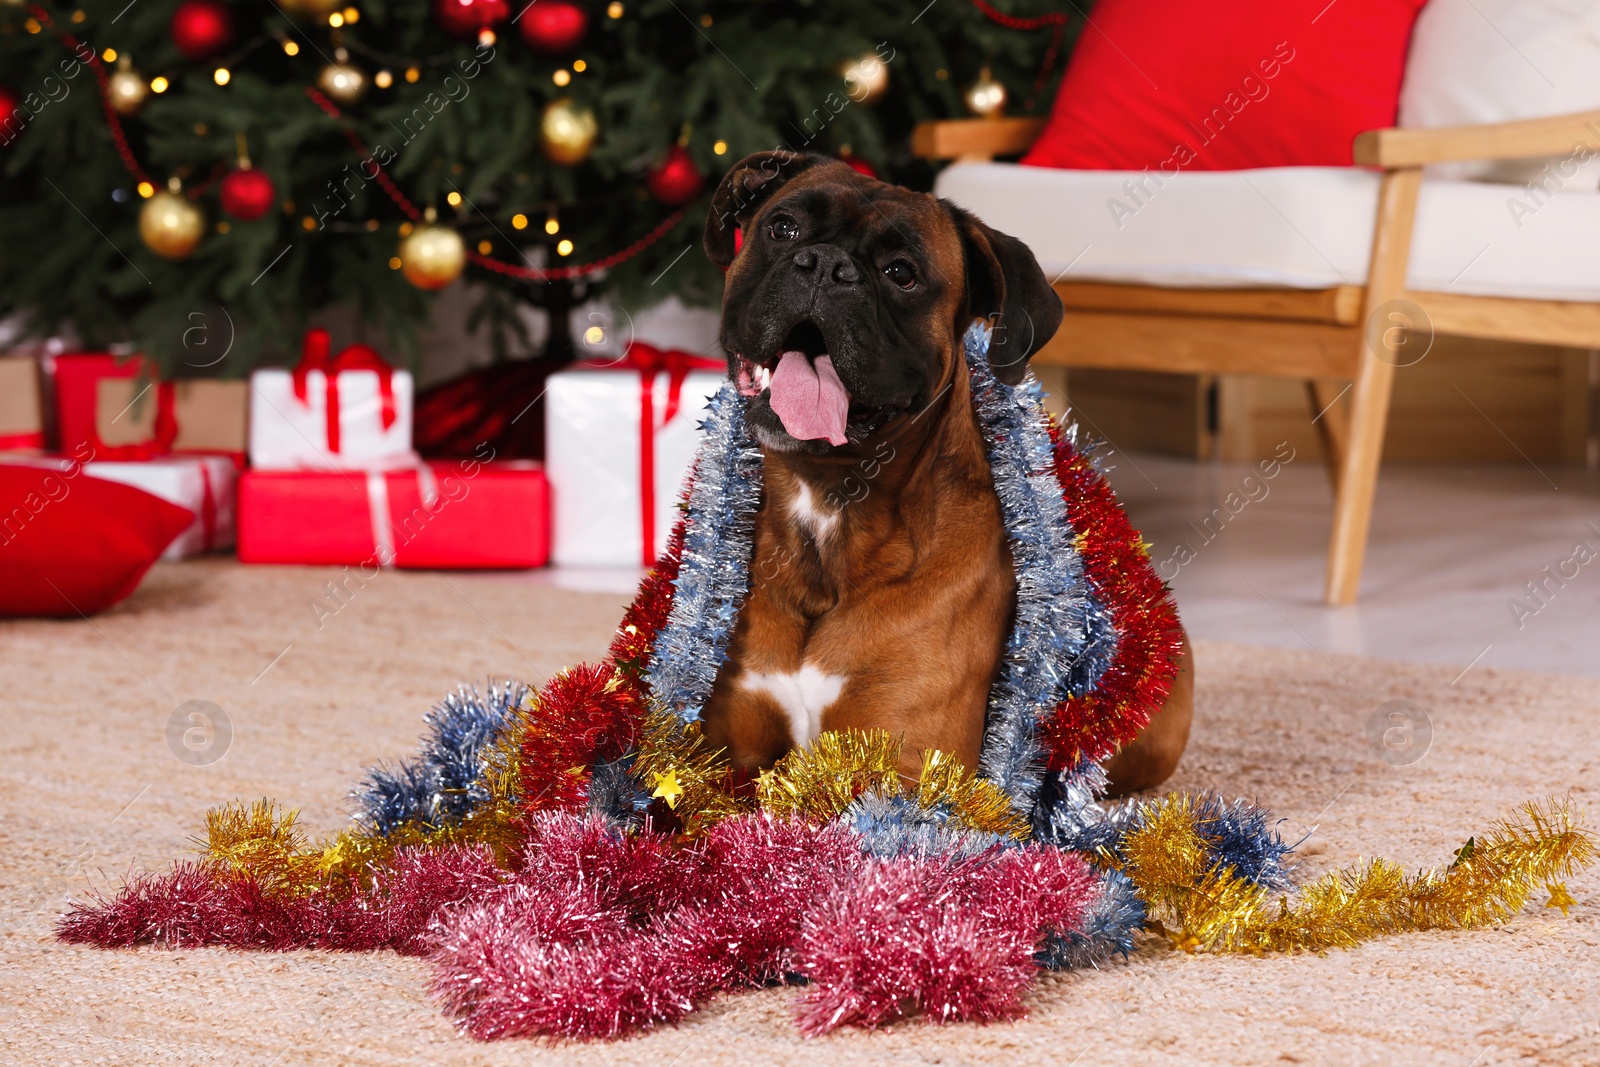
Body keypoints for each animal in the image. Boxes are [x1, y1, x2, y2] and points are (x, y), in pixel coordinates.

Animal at [700, 154, 1190, 796]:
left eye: (902, 273)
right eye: (783, 228)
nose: (825, 265)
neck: (830, 501)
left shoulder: (911, 774)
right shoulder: (711, 760)